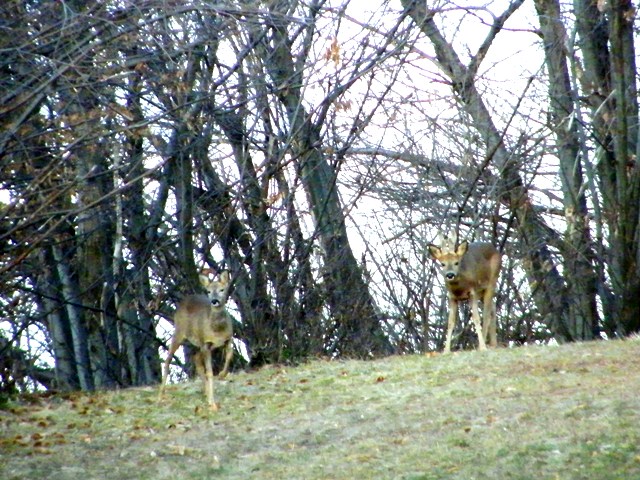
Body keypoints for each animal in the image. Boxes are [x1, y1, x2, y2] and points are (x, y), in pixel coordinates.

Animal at [159, 272, 234, 410]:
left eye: (222, 289)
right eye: (208, 291)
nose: (214, 301)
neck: (217, 330)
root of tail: (182, 302)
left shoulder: (227, 339)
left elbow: (230, 355)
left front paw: (222, 374)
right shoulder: (206, 344)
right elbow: (209, 372)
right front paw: (212, 403)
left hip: (200, 344)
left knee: (195, 358)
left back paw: (205, 392)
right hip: (179, 332)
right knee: (168, 360)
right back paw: (160, 397)